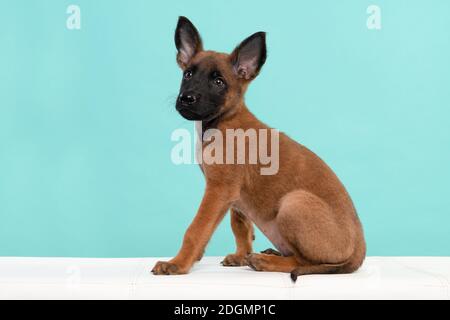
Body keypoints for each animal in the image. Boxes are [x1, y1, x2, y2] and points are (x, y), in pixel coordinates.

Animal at [151, 16, 366, 280]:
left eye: (218, 82)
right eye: (188, 74)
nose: (186, 99)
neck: (222, 121)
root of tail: (360, 251)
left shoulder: (219, 190)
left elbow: (196, 228)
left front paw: (178, 263)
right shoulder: (234, 196)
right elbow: (240, 226)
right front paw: (239, 255)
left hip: (293, 202)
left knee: (303, 261)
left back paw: (266, 261)